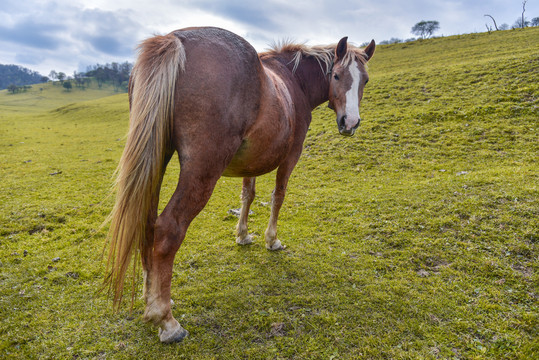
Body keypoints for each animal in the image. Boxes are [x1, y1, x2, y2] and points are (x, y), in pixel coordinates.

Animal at [105, 26, 376, 342]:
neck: (291, 79)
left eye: (364, 80)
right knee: (168, 229)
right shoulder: (291, 156)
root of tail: (174, 40)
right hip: (202, 171)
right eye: (336, 76)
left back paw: (153, 297)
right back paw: (166, 320)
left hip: (156, 160)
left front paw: (243, 235)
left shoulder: (253, 161)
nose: (350, 123)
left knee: (146, 223)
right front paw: (272, 240)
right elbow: (278, 196)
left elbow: (248, 194)